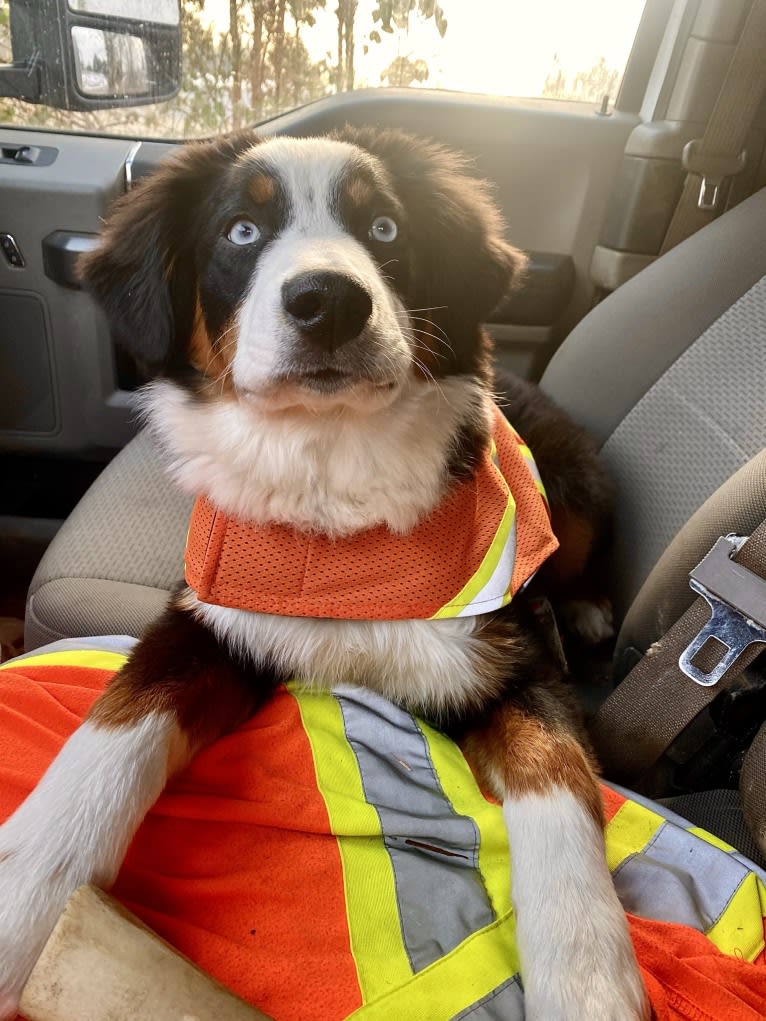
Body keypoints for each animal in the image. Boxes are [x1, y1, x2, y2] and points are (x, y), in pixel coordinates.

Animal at [0, 129, 649, 1021]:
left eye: (384, 228)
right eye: (240, 231)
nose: (329, 302)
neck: (333, 504)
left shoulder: (514, 656)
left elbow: (560, 784)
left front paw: (590, 985)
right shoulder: (208, 618)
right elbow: (107, 740)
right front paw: (23, 904)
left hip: (575, 486)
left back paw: (587, 607)